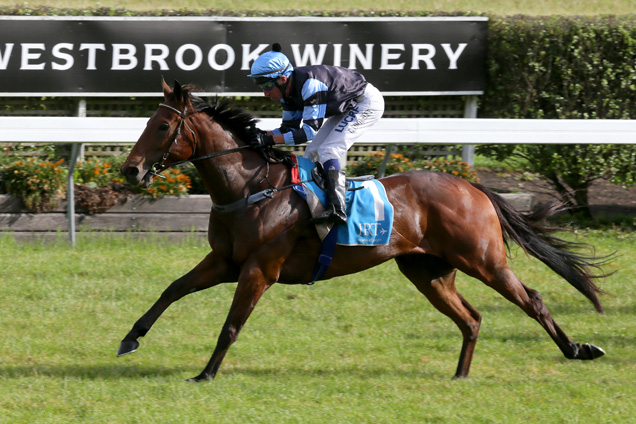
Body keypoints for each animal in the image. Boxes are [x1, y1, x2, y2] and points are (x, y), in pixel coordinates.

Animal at [118, 79, 608, 380]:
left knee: (532, 299)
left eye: (163, 125)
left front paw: (205, 373)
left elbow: (231, 325)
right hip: (427, 271)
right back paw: (460, 375)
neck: (250, 187)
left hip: (483, 259)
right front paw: (129, 338)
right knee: (471, 319)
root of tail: (471, 185)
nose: (130, 170)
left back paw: (578, 349)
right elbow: (172, 289)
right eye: (147, 122)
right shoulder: (224, 261)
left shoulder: (259, 268)